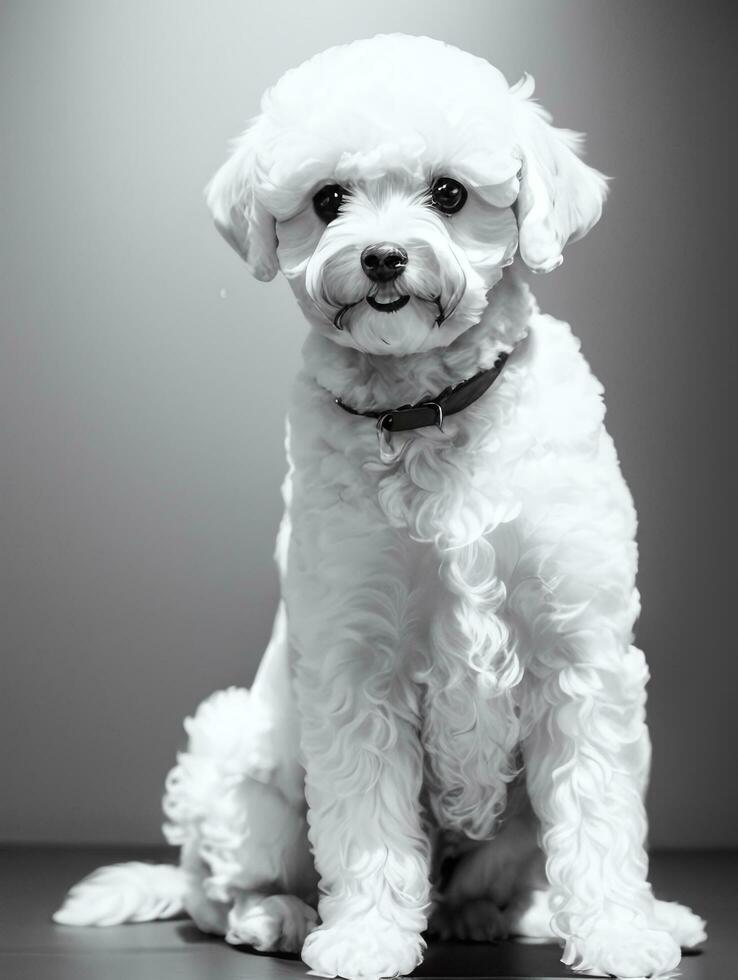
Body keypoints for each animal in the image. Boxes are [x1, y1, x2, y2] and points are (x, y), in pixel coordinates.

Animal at [54, 32, 704, 980]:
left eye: (450, 193)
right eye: (328, 200)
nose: (384, 257)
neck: (429, 410)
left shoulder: (580, 649)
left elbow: (600, 813)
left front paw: (620, 928)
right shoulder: (356, 661)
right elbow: (365, 823)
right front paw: (365, 937)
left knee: (500, 879)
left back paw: (518, 914)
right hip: (237, 769)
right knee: (214, 891)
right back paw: (277, 916)